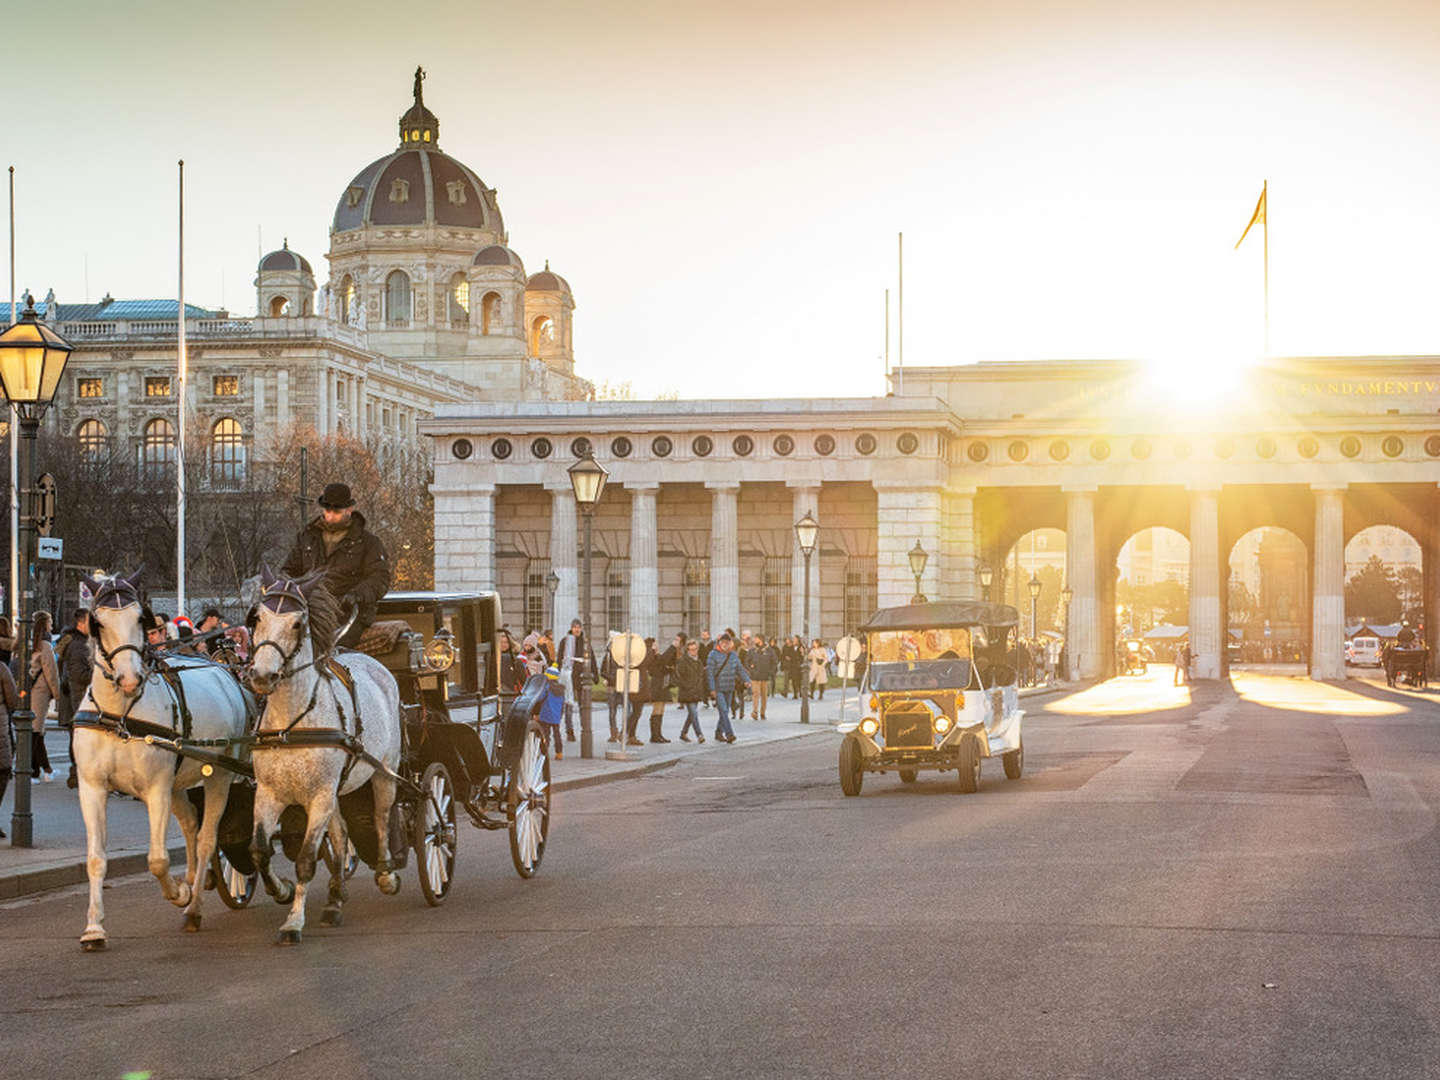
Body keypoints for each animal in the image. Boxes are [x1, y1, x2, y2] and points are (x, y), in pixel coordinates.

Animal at [74, 570, 254, 950]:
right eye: (98, 623)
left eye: (139, 618)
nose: (129, 678)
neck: (121, 716)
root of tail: (226, 671)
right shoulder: (92, 787)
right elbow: (96, 859)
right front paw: (94, 928)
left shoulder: (156, 788)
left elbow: (156, 860)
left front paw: (180, 893)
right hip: (180, 780)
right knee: (190, 825)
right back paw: (195, 879)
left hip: (218, 775)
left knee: (206, 838)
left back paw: (194, 906)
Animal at [247, 567, 403, 944]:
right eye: (257, 617)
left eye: (297, 624)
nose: (262, 676)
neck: (291, 722)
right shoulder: (269, 794)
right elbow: (259, 851)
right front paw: (282, 889)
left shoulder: (319, 795)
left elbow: (306, 859)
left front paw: (292, 921)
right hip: (335, 790)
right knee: (341, 834)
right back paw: (335, 898)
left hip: (384, 772)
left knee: (380, 818)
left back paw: (386, 874)